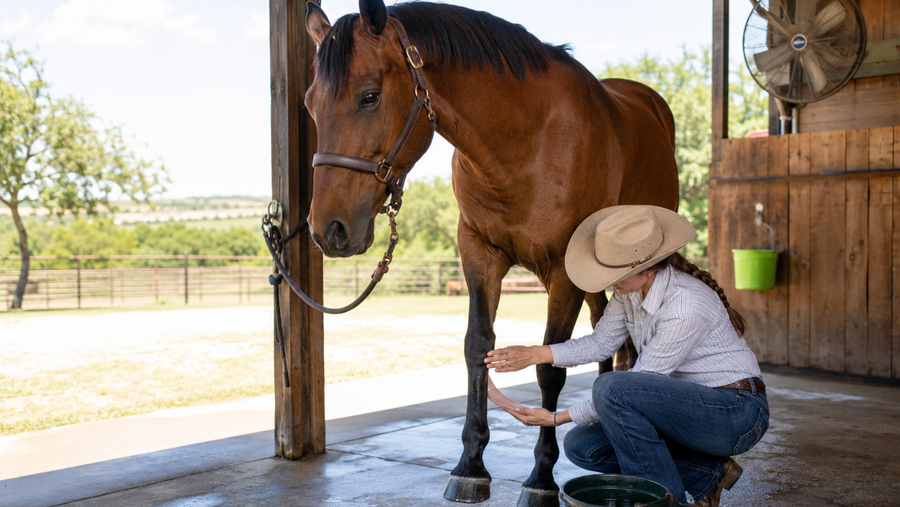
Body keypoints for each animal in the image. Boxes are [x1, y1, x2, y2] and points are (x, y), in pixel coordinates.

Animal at [303, 1, 679, 505]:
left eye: (368, 96)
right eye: (310, 104)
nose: (328, 230)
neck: (527, 140)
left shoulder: (562, 270)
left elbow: (550, 367)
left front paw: (541, 478)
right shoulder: (480, 254)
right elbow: (477, 347)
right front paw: (470, 466)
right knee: (606, 328)